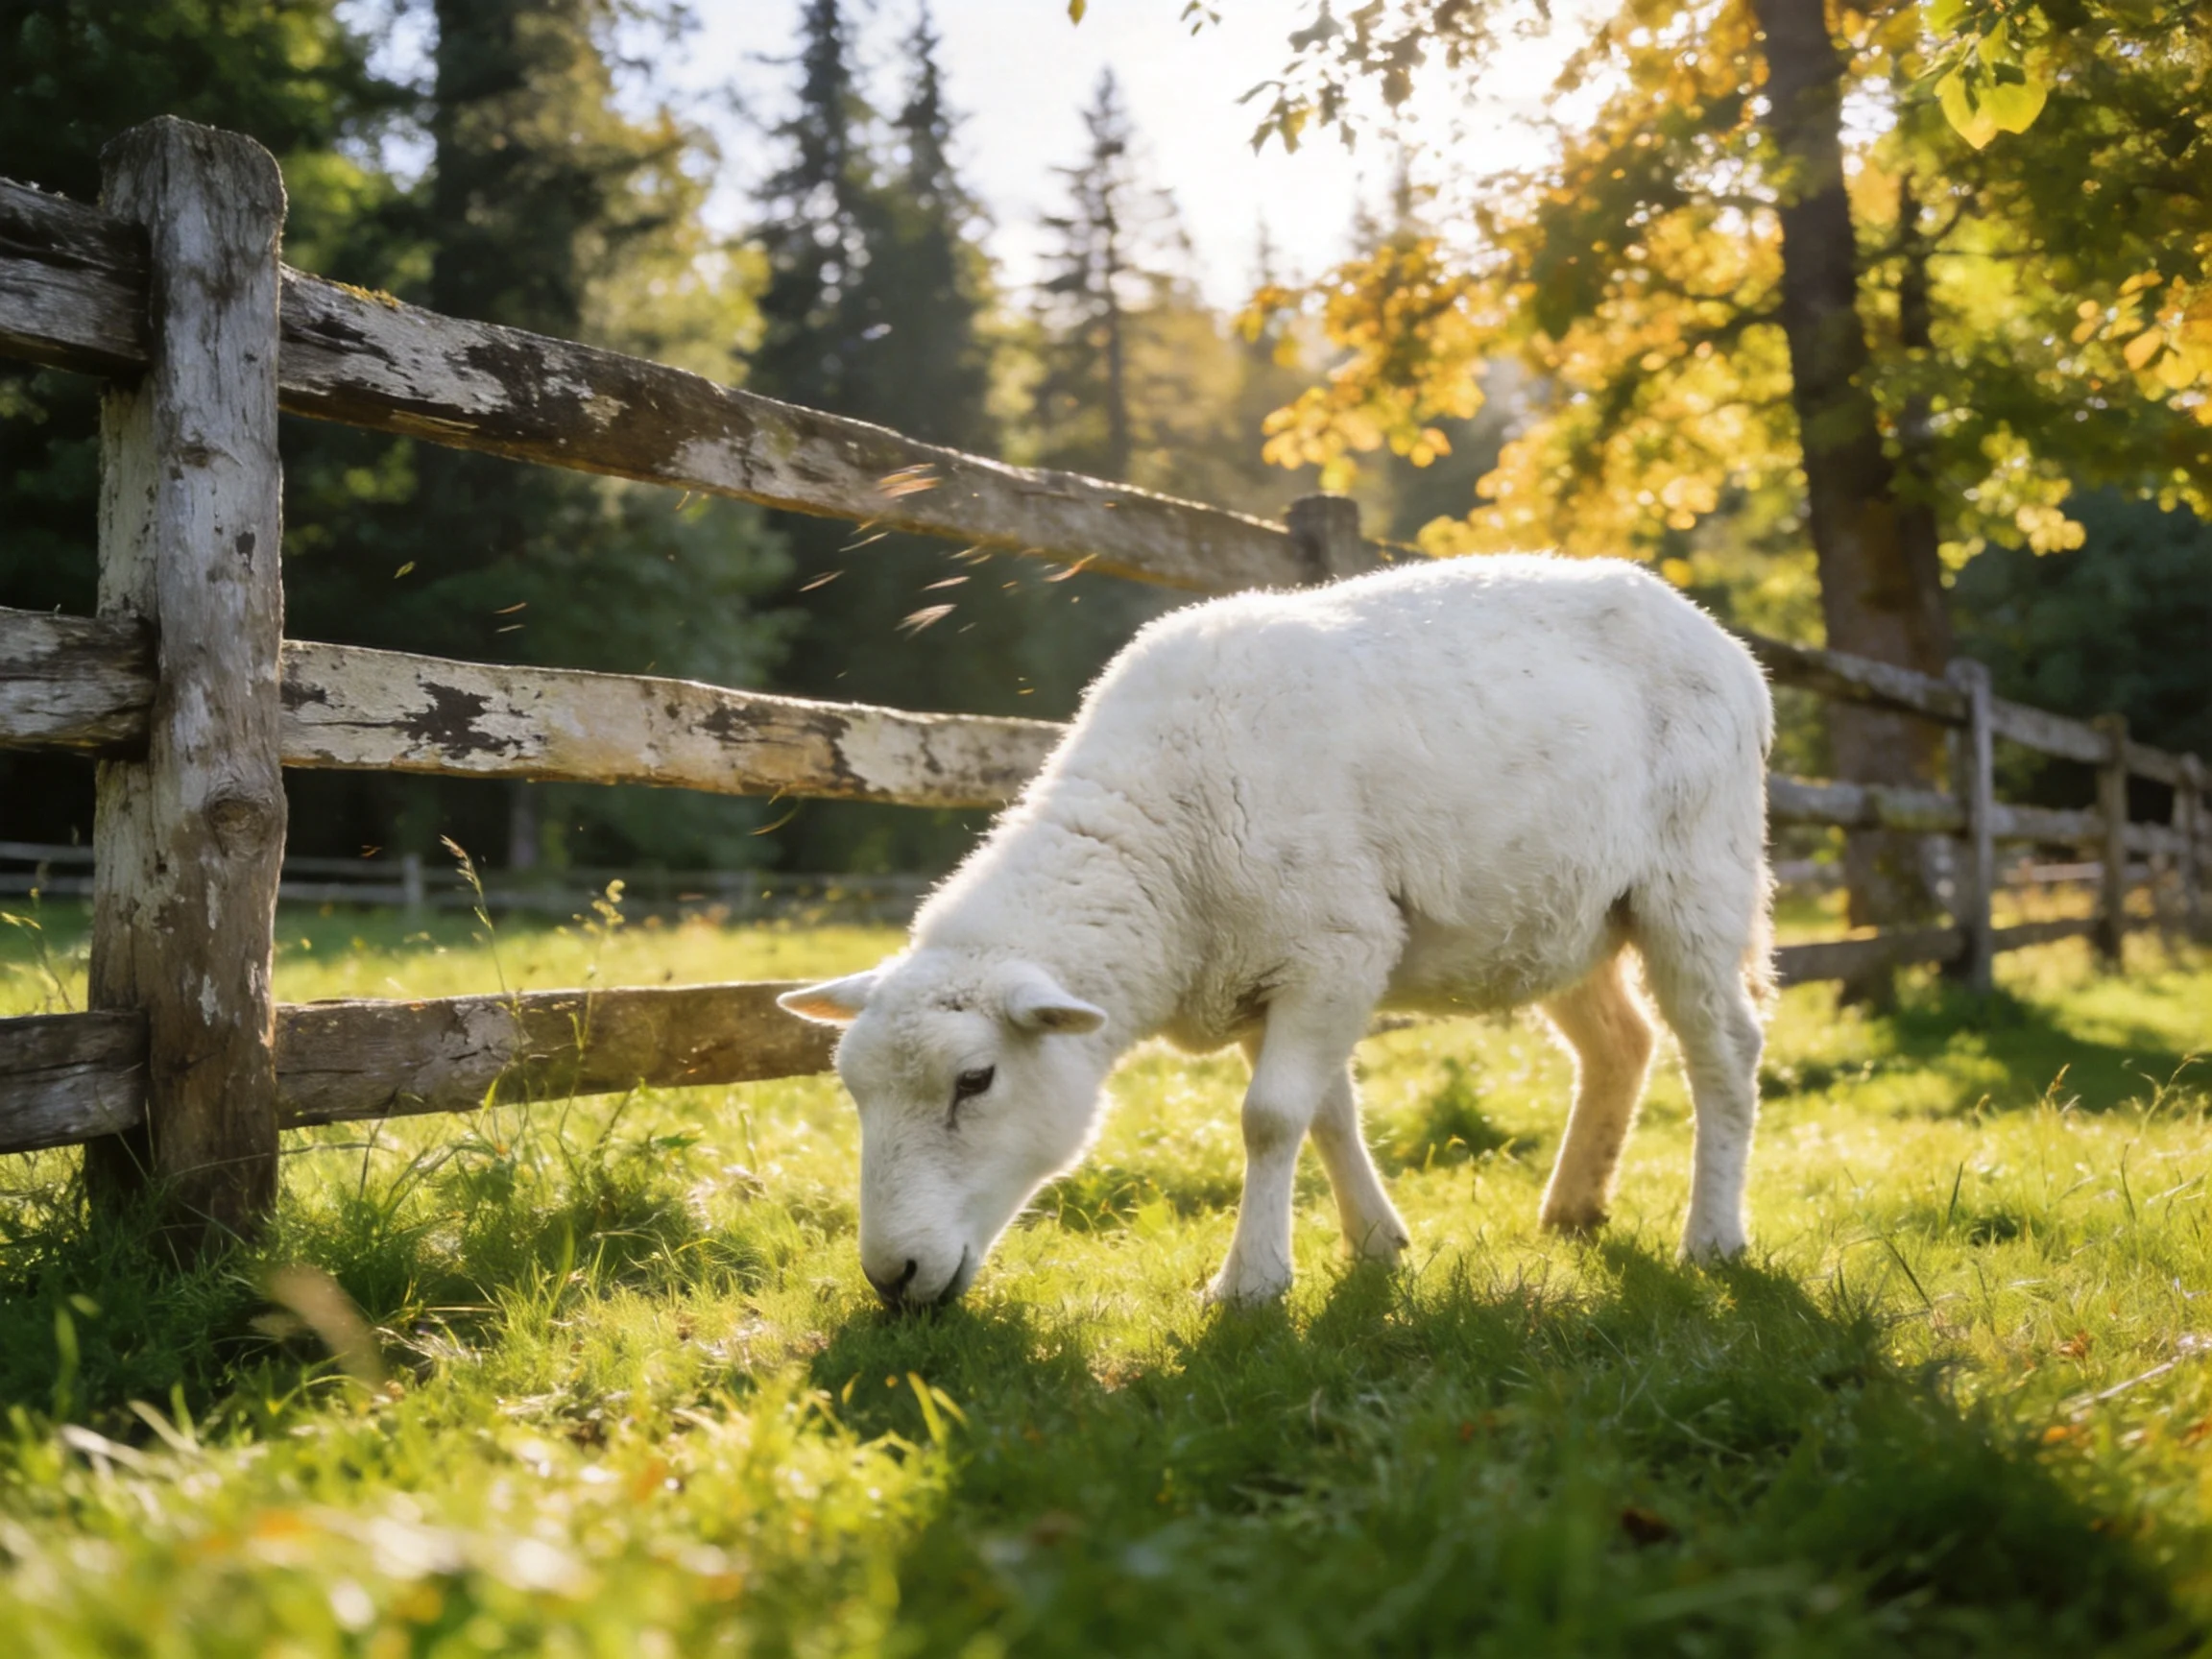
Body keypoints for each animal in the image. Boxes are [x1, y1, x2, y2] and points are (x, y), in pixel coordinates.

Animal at [780, 553, 1774, 1308]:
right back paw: (1573, 1208)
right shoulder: (1274, 974)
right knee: (1621, 1043)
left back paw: (1713, 1236)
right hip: (1566, 915)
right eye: (853, 1092)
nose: (892, 1276)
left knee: (1723, 1046)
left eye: (975, 1081)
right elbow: (1327, 1113)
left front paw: (1250, 1282)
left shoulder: (1335, 949)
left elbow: (1268, 1119)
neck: (1162, 843)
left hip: (1695, 878)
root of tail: (1721, 640)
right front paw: (1374, 1242)